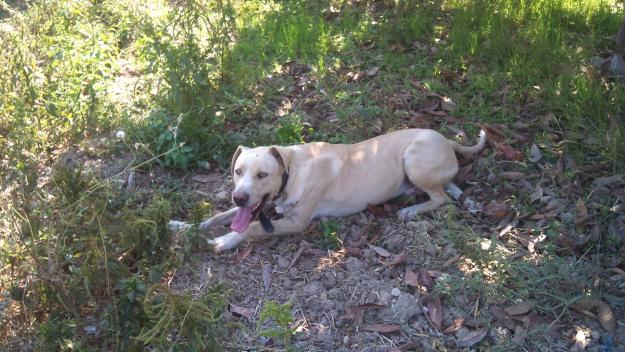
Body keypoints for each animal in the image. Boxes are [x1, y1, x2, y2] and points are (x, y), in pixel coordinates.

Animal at [180, 128, 482, 252]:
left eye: (262, 175)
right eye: (238, 172)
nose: (239, 196)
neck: (292, 170)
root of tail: (446, 140)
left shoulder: (296, 223)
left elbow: (251, 228)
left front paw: (225, 240)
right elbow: (218, 216)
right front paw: (182, 226)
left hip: (413, 158)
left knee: (439, 198)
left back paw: (413, 209)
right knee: (448, 185)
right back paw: (463, 198)